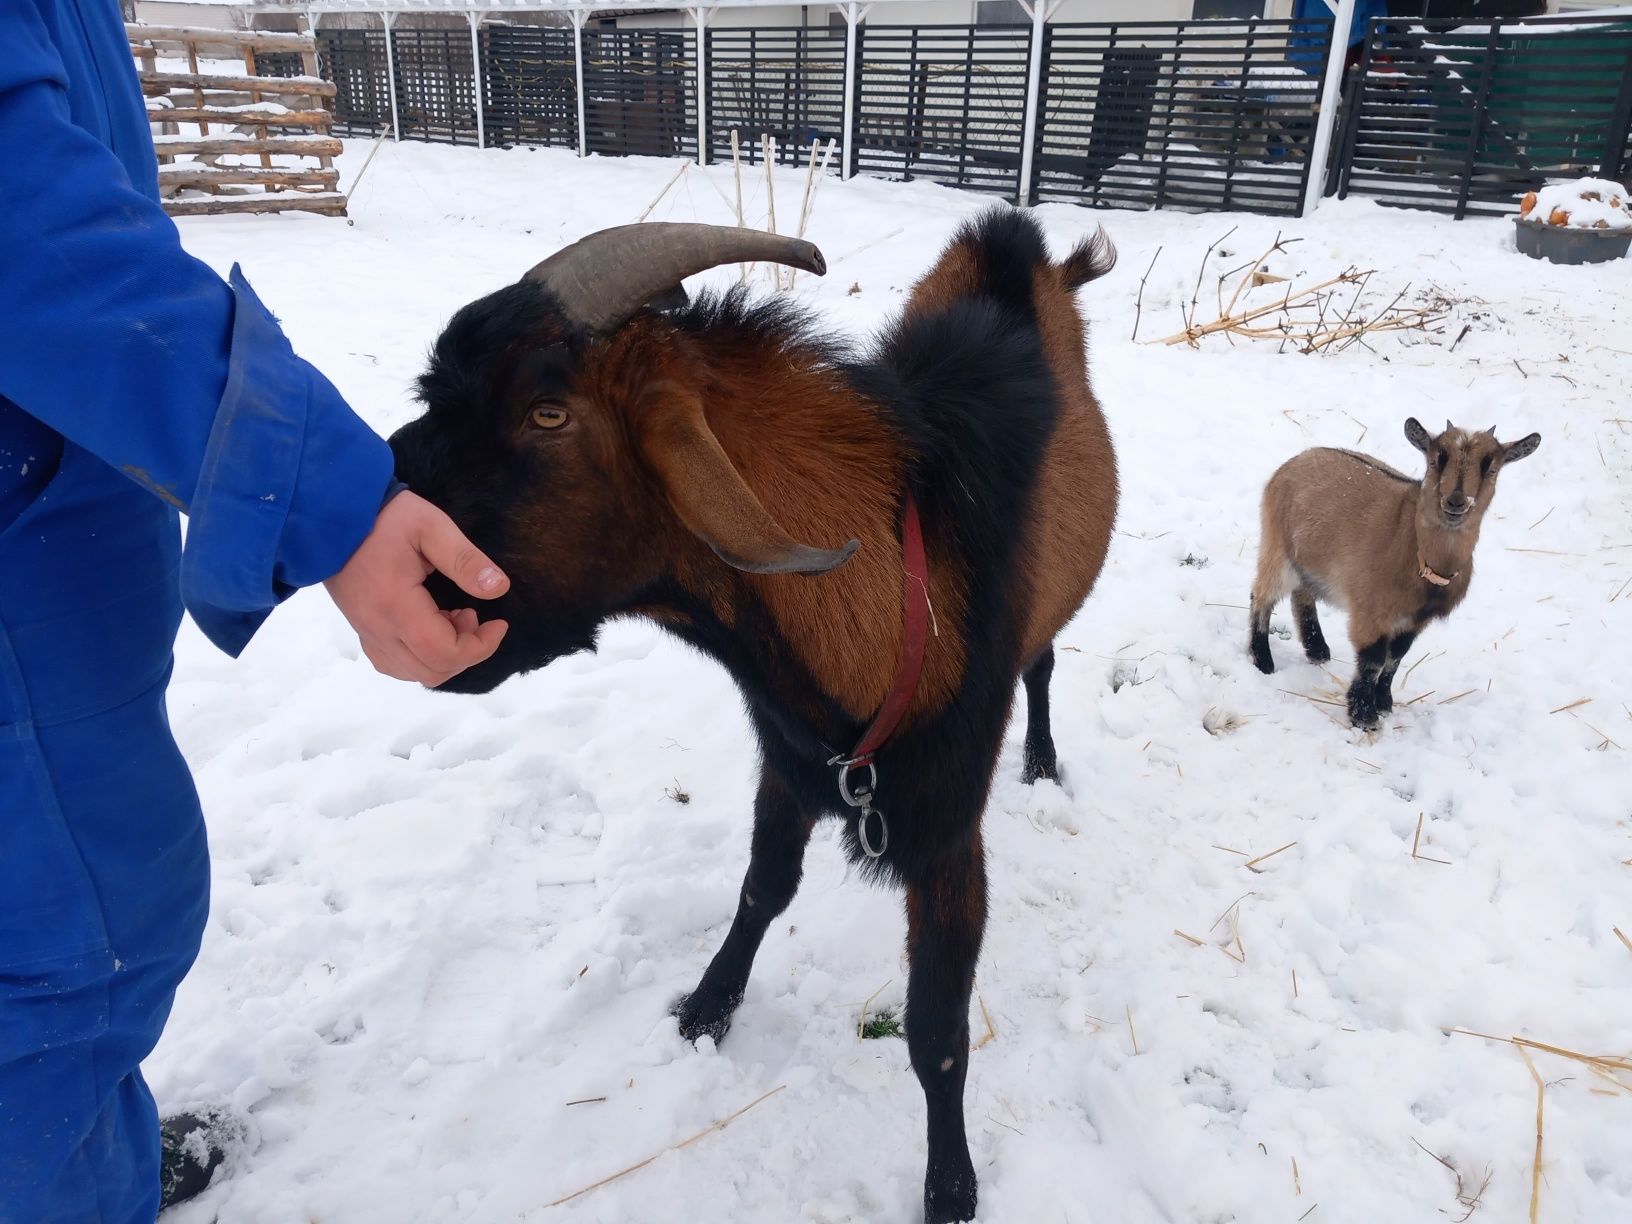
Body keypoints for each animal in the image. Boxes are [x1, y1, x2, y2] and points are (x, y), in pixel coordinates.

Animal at [385, 206, 1122, 1220]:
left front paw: (950, 1188)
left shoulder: (946, 829)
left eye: (548, 412)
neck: (901, 587)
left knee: (1044, 663)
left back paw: (1043, 761)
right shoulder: (790, 755)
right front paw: (705, 1009)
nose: (383, 537)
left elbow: (936, 1032)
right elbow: (762, 889)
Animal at [1253, 421, 1534, 727]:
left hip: (1308, 559)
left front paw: (1384, 702)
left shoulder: (1415, 621)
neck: (1416, 551)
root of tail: (1293, 462)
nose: (1456, 502)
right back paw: (1263, 661)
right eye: (1435, 460)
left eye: (1492, 468)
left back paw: (1317, 649)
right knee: (1262, 596)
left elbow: (1395, 658)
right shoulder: (1369, 612)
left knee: (1301, 593)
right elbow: (1373, 659)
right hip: (1278, 548)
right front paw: (1364, 714)